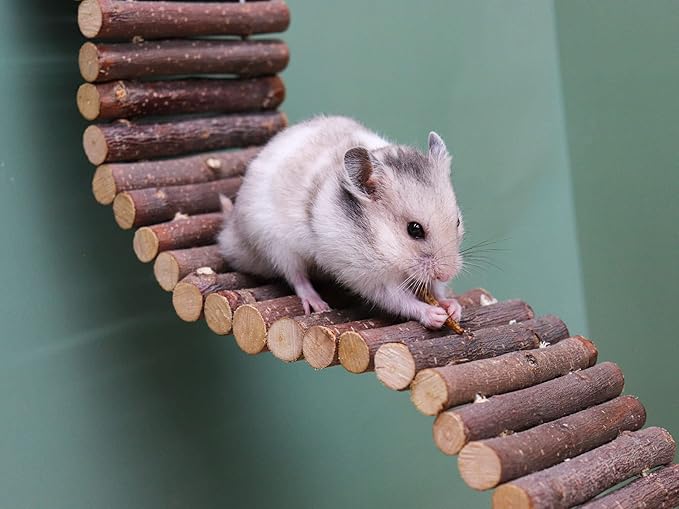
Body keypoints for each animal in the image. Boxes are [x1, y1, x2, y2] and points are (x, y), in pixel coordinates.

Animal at [218, 116, 464, 329]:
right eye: (414, 230)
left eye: (457, 221)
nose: (448, 274)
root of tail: (231, 234)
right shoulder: (368, 277)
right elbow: (399, 300)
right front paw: (435, 314)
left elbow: (437, 290)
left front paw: (453, 308)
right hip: (275, 245)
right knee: (296, 276)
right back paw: (318, 304)